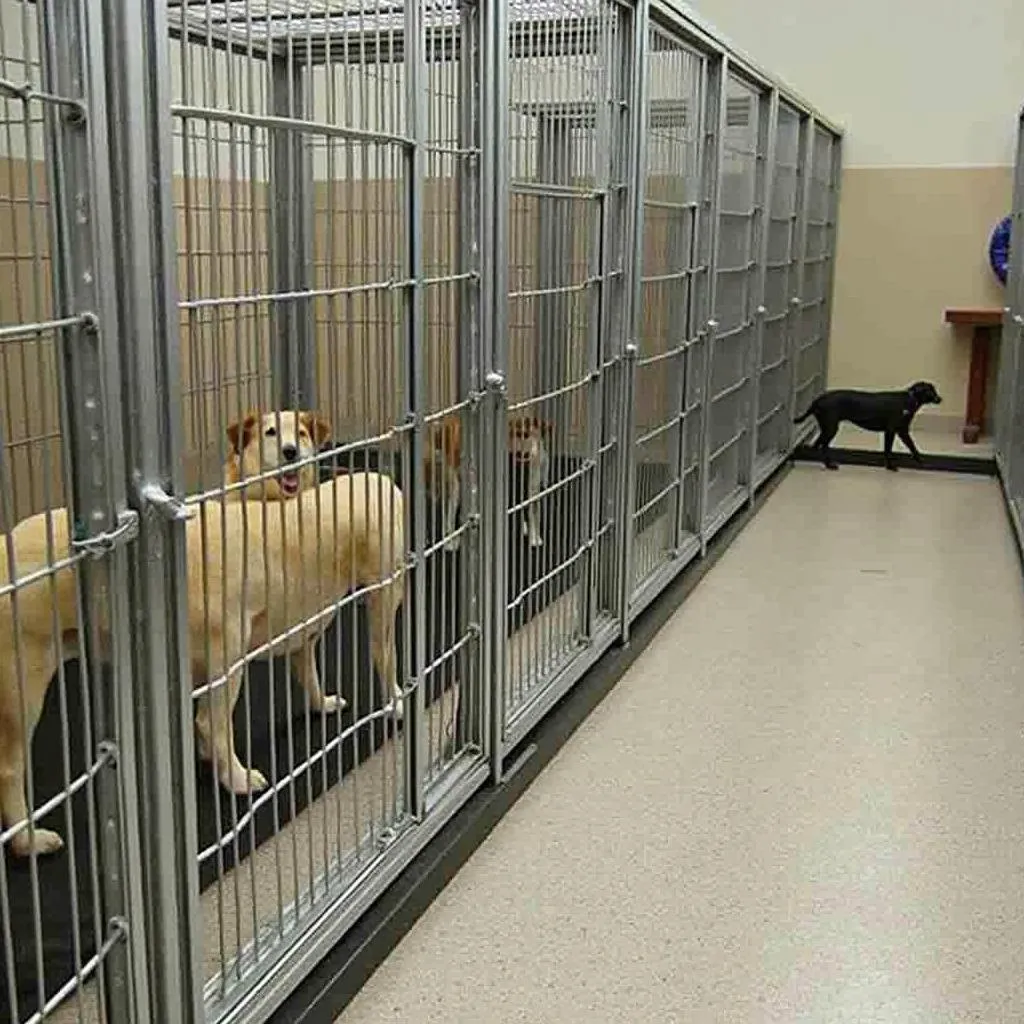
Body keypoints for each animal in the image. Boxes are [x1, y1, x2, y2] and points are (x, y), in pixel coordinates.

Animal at [0, 471, 407, 856]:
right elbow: (385, 661)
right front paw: (397, 703)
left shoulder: (301, 635)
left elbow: (309, 676)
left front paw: (322, 705)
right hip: (28, 685)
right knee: (11, 769)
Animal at [798, 380, 942, 471]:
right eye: (930, 390)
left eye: (934, 389)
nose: (940, 399)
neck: (909, 399)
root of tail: (817, 400)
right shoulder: (891, 431)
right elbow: (888, 450)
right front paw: (890, 466)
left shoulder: (902, 431)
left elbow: (912, 447)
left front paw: (921, 461)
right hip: (831, 428)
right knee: (822, 445)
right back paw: (829, 465)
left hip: (826, 427)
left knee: (817, 445)